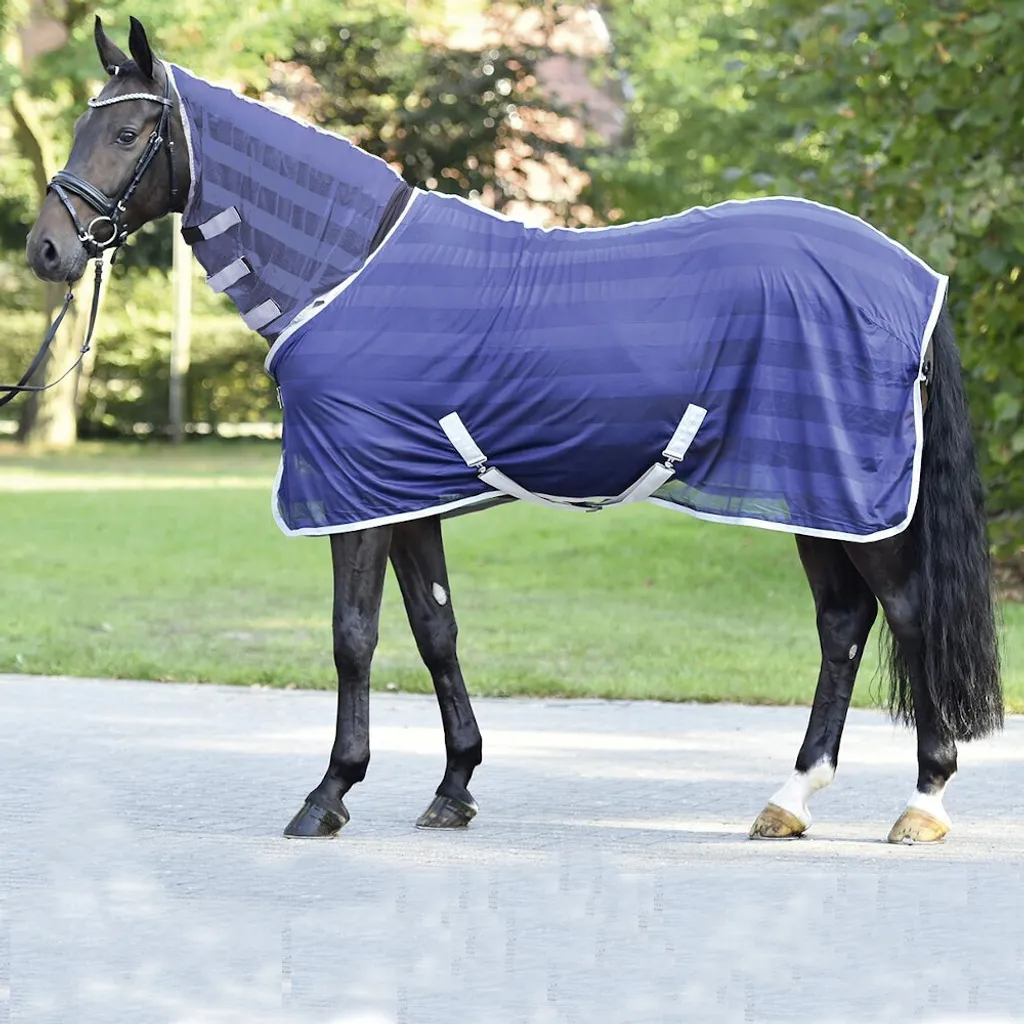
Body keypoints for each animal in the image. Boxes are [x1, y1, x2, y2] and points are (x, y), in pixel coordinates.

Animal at [23, 16, 1002, 844]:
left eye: (125, 134)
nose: (47, 250)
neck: (347, 267)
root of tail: (910, 274)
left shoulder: (354, 499)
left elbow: (352, 637)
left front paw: (329, 793)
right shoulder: (402, 496)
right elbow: (435, 631)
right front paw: (454, 785)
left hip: (855, 497)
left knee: (906, 617)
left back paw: (922, 803)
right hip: (813, 495)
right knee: (842, 624)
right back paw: (789, 799)